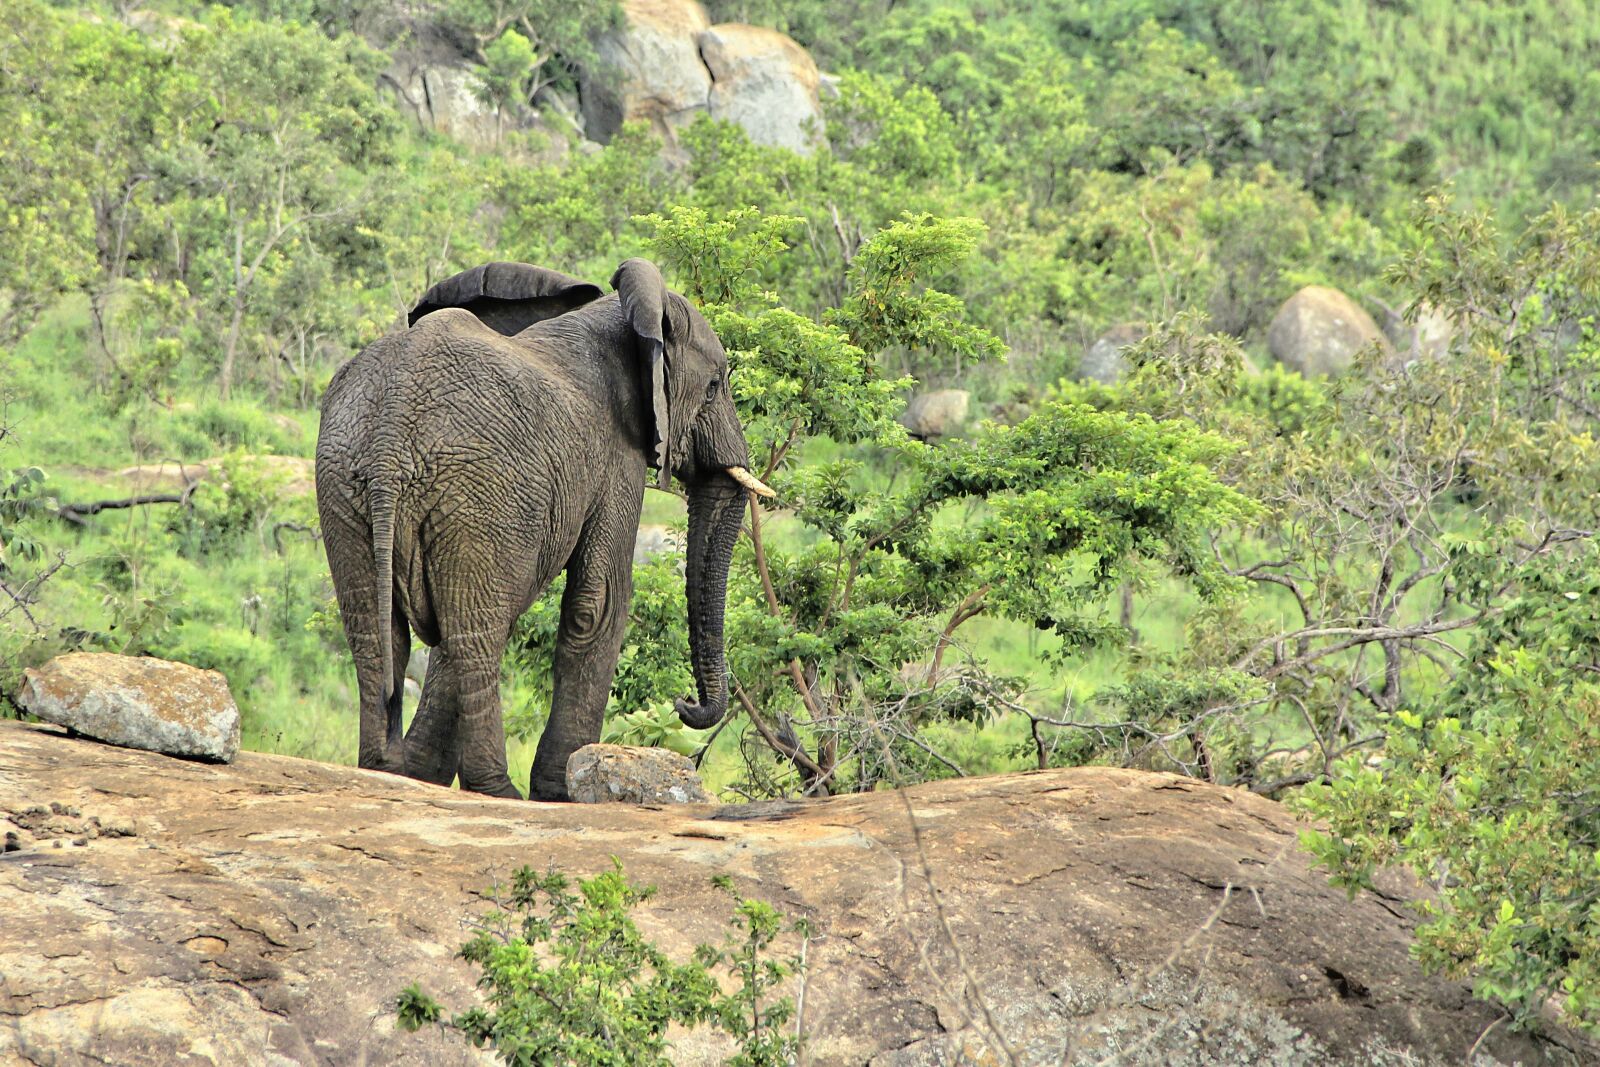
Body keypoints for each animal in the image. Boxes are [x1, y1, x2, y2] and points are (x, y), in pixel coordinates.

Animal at [315, 259, 774, 800]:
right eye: (716, 385)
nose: (684, 703)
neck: (625, 318)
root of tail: (390, 437)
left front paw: (421, 772)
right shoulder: (617, 457)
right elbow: (599, 603)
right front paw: (558, 792)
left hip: (347, 485)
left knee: (378, 632)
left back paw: (383, 768)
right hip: (479, 496)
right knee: (476, 635)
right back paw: (497, 791)